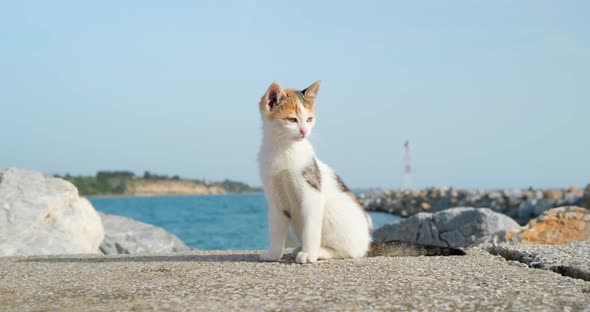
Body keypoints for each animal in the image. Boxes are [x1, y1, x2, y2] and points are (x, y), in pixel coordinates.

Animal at [260, 80, 468, 264]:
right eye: (292, 120)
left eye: (309, 119)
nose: (304, 131)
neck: (283, 150)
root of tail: (369, 242)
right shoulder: (275, 199)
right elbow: (276, 229)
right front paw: (274, 253)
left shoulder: (312, 194)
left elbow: (311, 228)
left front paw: (309, 254)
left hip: (334, 213)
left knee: (352, 252)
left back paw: (319, 251)